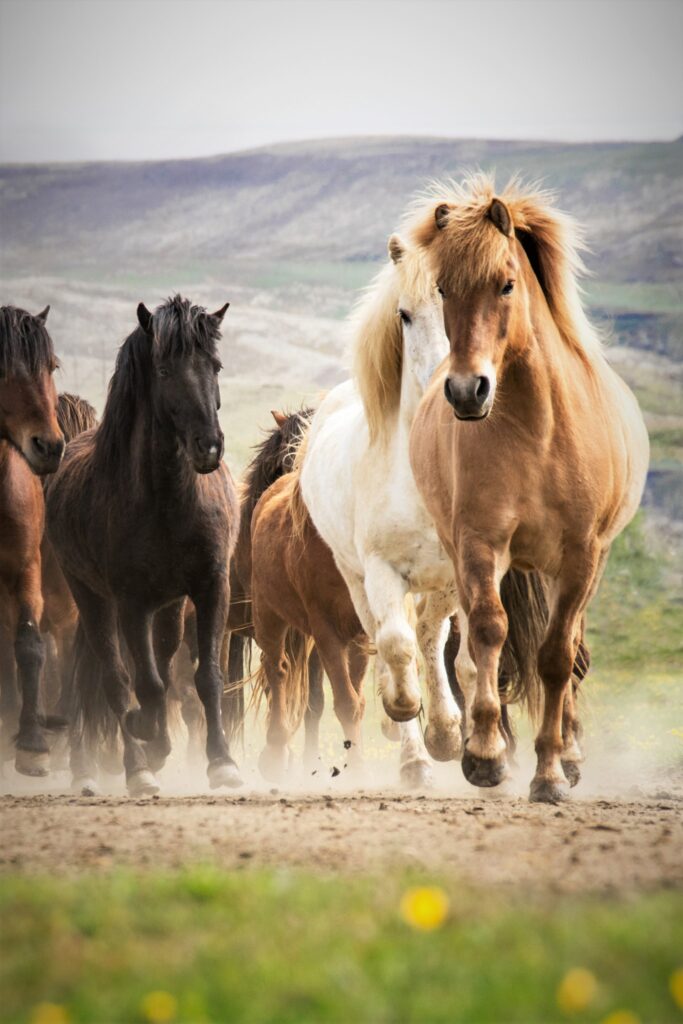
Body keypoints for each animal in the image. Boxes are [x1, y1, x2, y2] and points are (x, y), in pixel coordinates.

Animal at [46, 295, 241, 796]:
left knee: (164, 664)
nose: (209, 448)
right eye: (165, 370)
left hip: (169, 606)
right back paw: (137, 766)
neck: (167, 501)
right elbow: (145, 686)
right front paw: (146, 739)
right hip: (93, 598)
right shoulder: (131, 600)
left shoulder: (211, 586)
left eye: (215, 365)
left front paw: (222, 762)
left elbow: (205, 677)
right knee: (117, 679)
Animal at [407, 174, 649, 803]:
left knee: (573, 652)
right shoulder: (479, 544)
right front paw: (485, 755)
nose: (466, 391)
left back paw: (571, 752)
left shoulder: (581, 555)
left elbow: (558, 656)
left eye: (507, 284)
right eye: (443, 288)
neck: (538, 432)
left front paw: (551, 772)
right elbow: (488, 633)